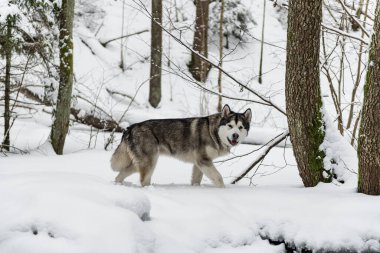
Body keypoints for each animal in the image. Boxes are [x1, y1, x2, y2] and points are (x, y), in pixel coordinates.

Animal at [110, 103, 252, 188]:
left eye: (240, 127)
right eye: (230, 126)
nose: (235, 135)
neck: (213, 132)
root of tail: (130, 128)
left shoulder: (199, 163)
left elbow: (196, 180)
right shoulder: (203, 161)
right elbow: (218, 178)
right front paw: (223, 191)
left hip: (138, 164)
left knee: (119, 176)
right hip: (149, 163)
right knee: (143, 180)